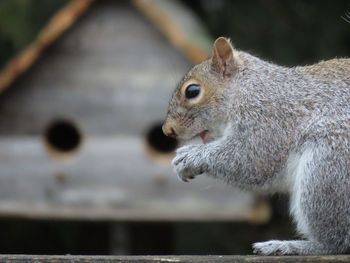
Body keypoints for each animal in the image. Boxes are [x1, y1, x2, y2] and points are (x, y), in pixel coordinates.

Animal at [163, 37, 350, 256]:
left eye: (192, 91)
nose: (167, 130)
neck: (247, 86)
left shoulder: (269, 116)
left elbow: (250, 157)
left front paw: (189, 157)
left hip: (327, 167)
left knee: (335, 244)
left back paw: (288, 246)